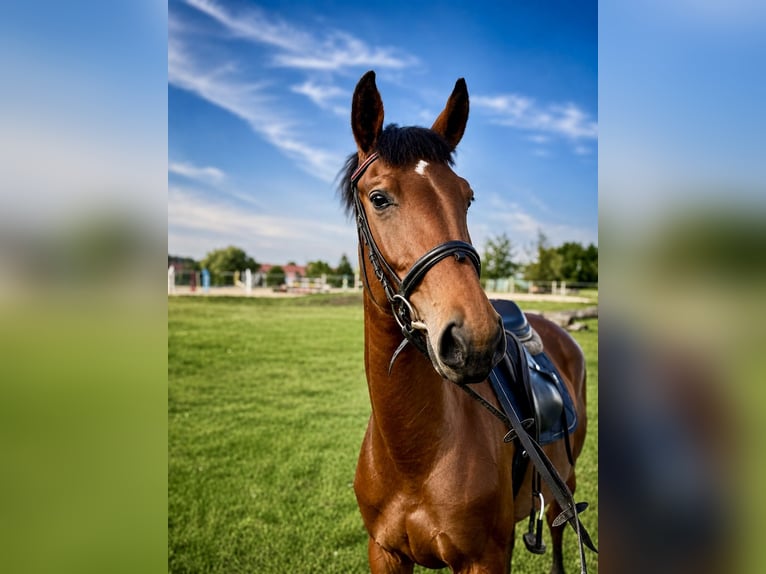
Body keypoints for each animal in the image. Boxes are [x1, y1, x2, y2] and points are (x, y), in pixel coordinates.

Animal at [338, 70, 590, 574]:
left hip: (565, 483)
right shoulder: (385, 553)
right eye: (379, 198)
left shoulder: (486, 558)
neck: (415, 456)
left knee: (559, 530)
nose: (475, 338)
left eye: (467, 197)